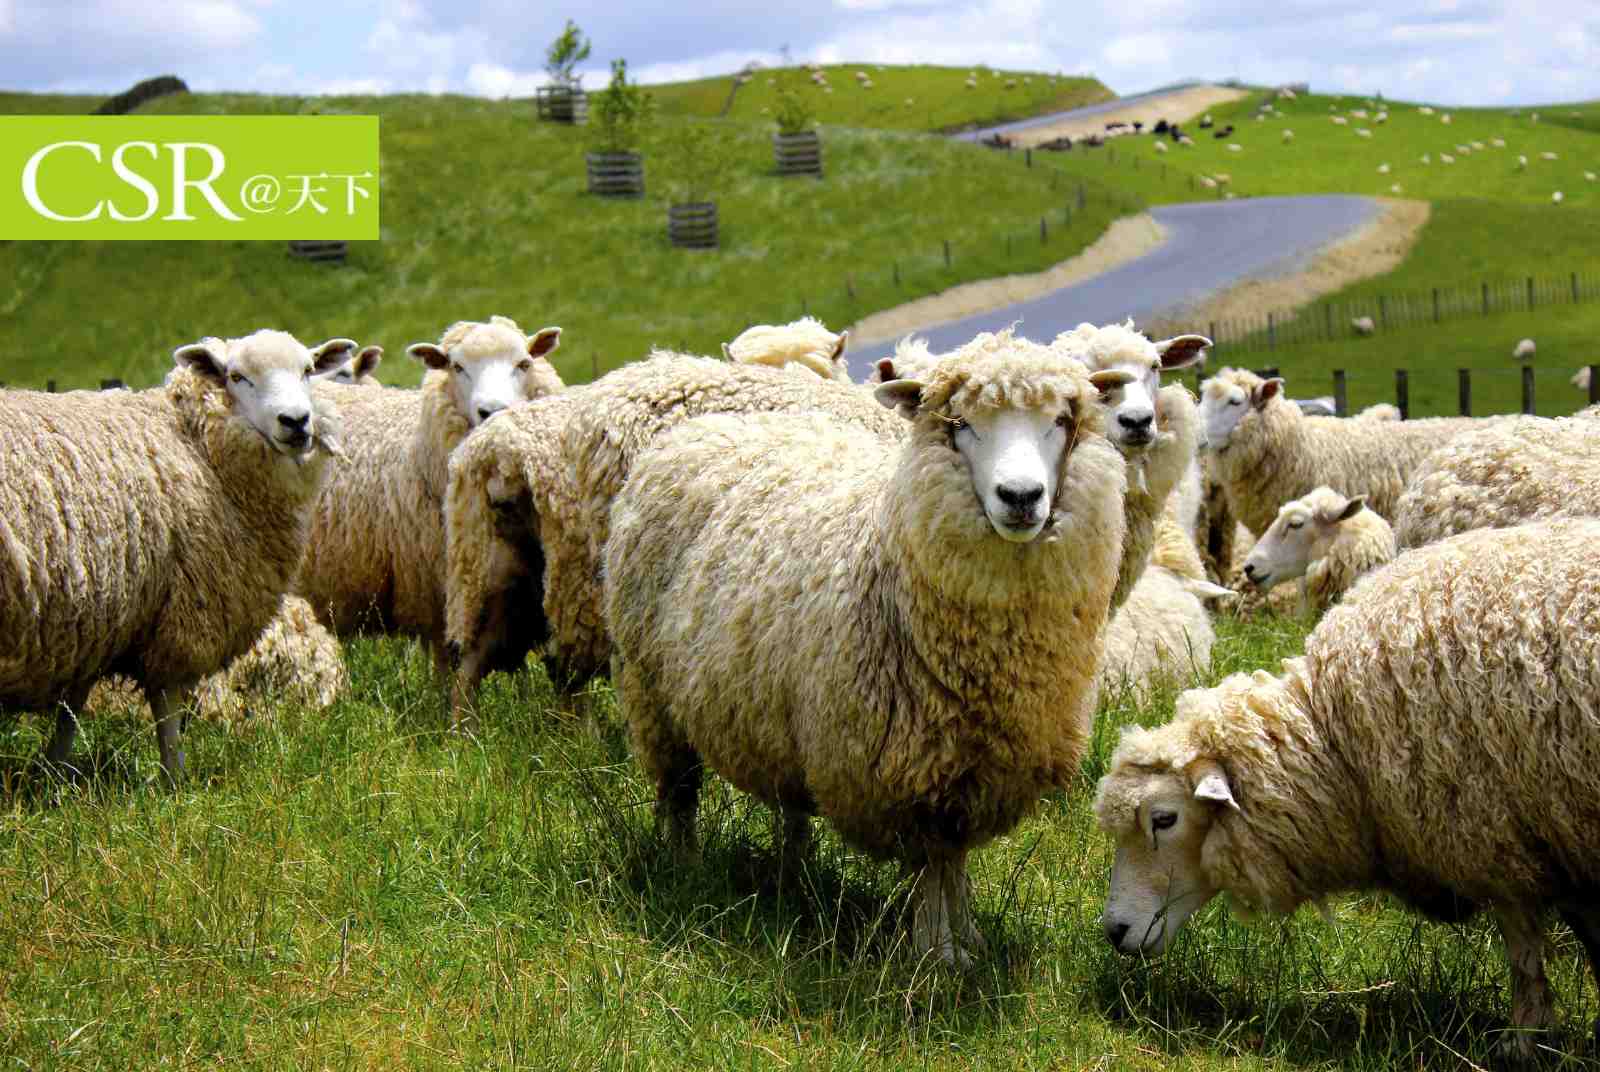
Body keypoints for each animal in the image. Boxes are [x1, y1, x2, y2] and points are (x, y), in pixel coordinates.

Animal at [1, 330, 352, 782]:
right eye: (236, 376)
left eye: (308, 370)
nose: (296, 421)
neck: (195, 444)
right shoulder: (179, 614)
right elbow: (165, 708)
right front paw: (175, 779)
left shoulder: (92, 621)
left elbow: (72, 706)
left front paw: (55, 772)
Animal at [443, 353, 907, 724]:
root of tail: (496, 455)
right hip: (587, 575)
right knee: (566, 668)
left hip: (504, 569)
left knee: (474, 659)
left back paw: (466, 739)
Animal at [605, 331, 1134, 966]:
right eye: (961, 424)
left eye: (1060, 420)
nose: (1021, 496)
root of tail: (702, 427)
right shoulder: (909, 772)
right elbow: (933, 861)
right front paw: (937, 951)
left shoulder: (975, 769)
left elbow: (954, 860)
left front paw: (966, 940)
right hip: (649, 689)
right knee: (678, 793)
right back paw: (684, 867)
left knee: (788, 805)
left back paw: (793, 877)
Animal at [1095, 518, 1600, 1060]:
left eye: (1164, 819)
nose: (1114, 932)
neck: (1334, 737)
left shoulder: (1494, 837)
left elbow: (1524, 952)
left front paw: (1522, 1041)